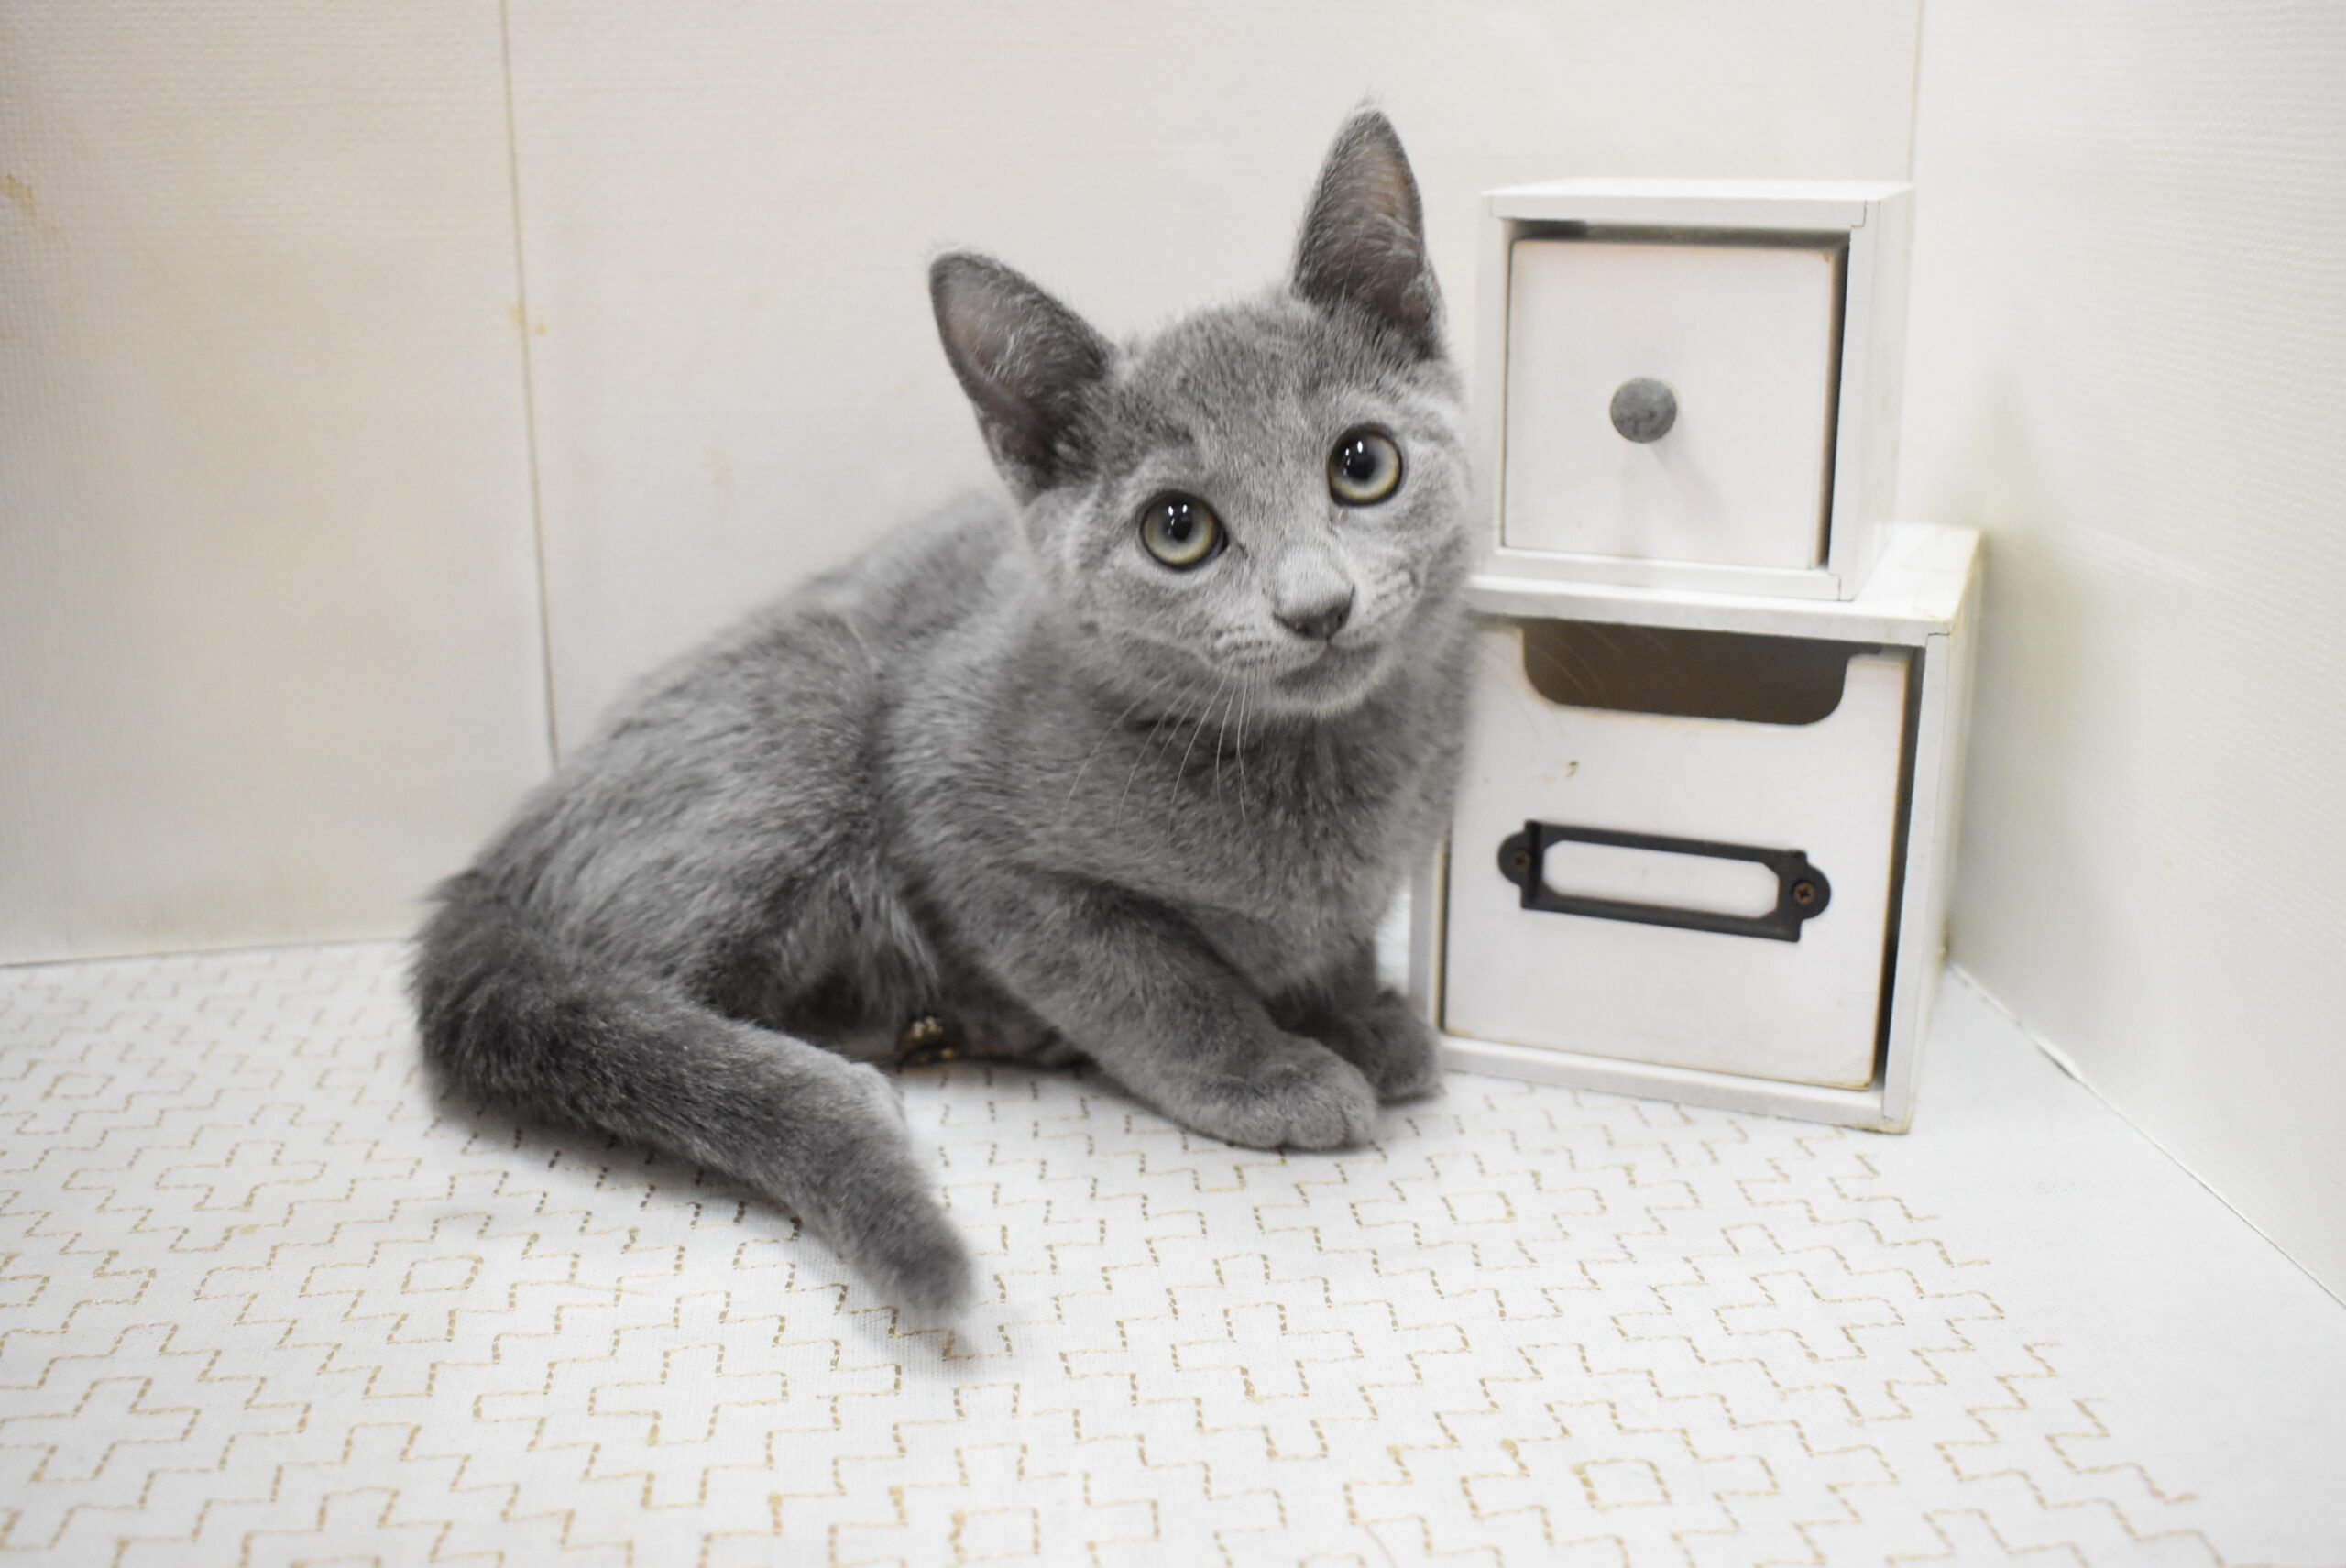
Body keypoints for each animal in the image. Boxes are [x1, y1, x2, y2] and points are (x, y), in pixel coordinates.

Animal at [411, 108, 1476, 1316]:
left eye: (1362, 464)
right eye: (1179, 530)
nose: (1317, 606)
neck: (1313, 766)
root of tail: (488, 870)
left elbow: (1334, 941)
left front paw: (1359, 1009)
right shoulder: (969, 829)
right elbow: (1151, 978)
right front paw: (1268, 1066)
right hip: (808, 714)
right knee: (622, 1012)